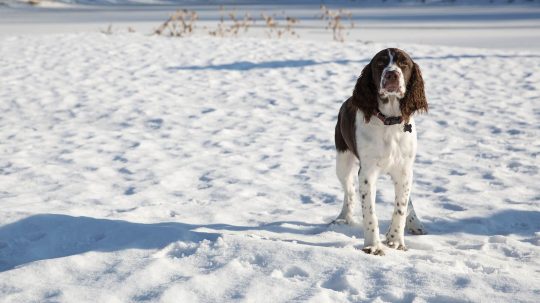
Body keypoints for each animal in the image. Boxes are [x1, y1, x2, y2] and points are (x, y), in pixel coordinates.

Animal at [336, 48, 428, 256]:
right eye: (380, 63)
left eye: (404, 63)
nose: (392, 74)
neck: (390, 122)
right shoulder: (367, 172)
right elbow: (369, 211)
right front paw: (373, 246)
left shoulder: (404, 170)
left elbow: (401, 207)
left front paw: (395, 240)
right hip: (342, 160)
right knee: (349, 190)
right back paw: (344, 217)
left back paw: (415, 223)